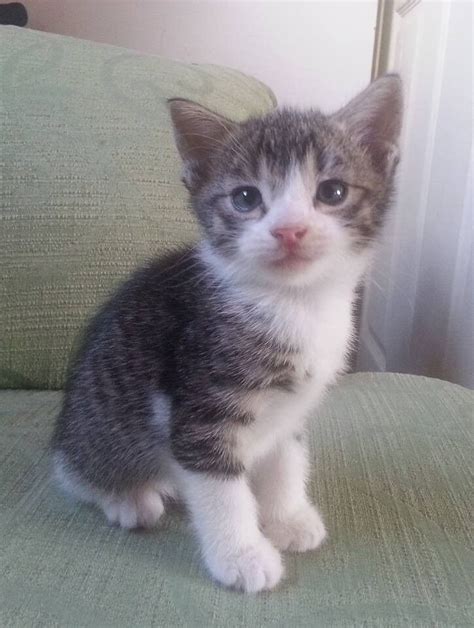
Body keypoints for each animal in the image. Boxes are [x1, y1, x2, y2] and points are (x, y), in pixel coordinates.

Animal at [51, 75, 402, 592]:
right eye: (246, 199)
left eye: (333, 192)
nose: (290, 230)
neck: (292, 304)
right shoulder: (199, 407)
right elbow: (221, 491)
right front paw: (242, 555)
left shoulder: (291, 408)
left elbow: (286, 458)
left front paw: (287, 516)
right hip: (97, 427)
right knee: (77, 474)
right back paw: (126, 497)